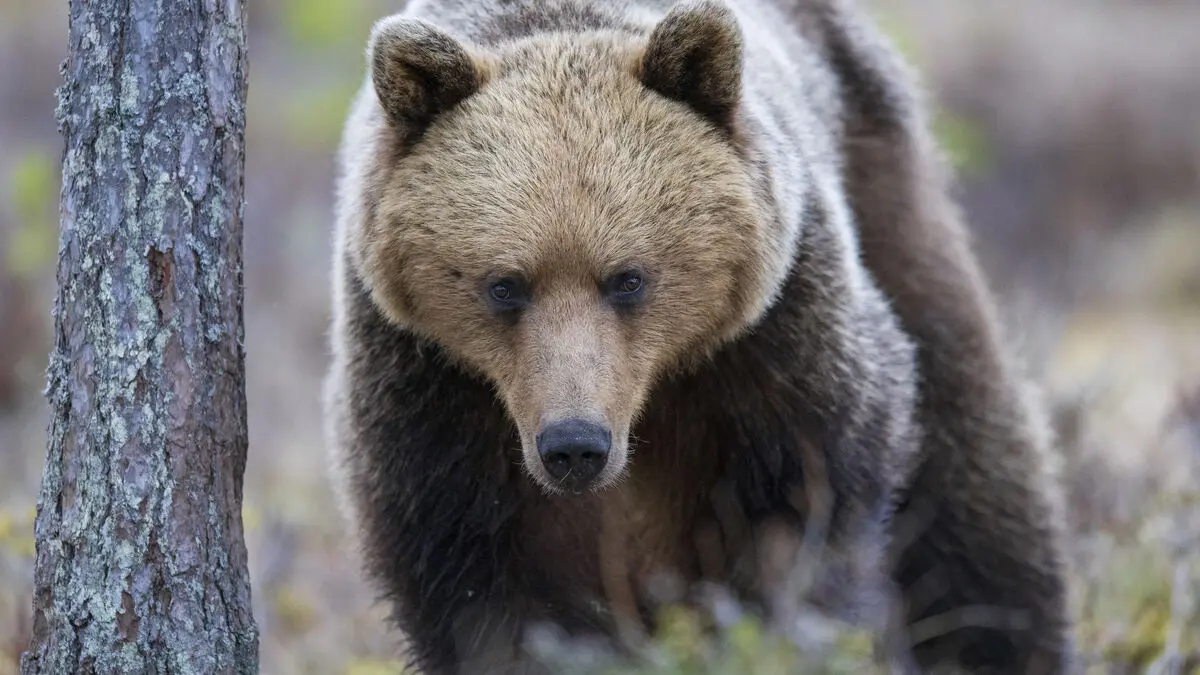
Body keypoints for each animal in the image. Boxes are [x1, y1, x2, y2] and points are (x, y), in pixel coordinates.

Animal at [322, 0, 1075, 673]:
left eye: (627, 278)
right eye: (504, 284)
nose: (575, 445)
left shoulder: (774, 345)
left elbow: (802, 513)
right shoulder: (433, 391)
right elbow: (480, 586)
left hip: (887, 186)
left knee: (974, 461)